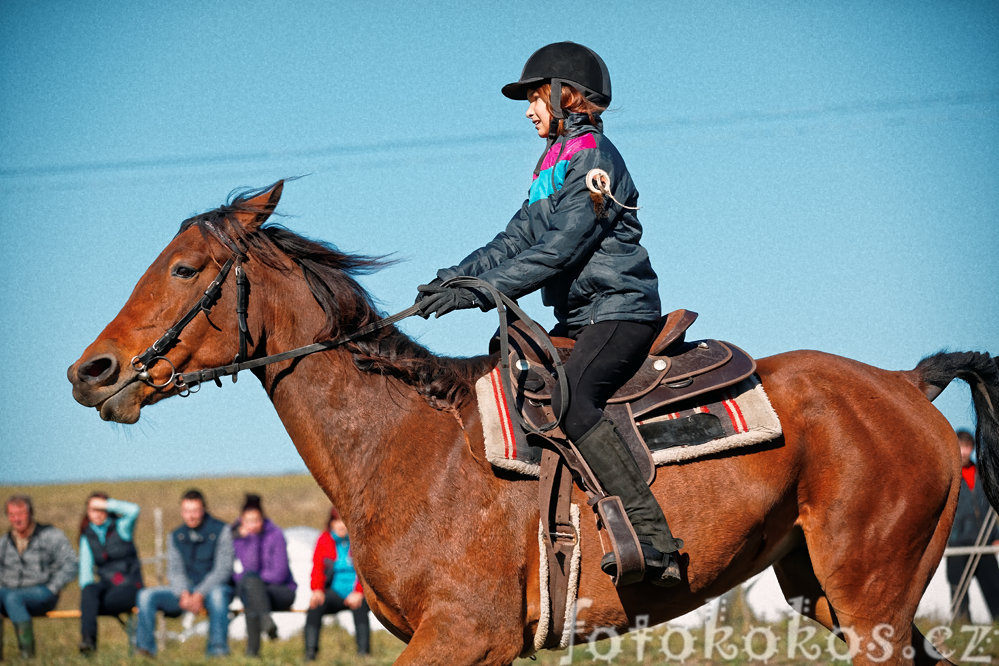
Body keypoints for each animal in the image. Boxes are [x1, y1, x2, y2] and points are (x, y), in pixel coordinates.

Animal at [70, 179, 999, 660]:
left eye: (185, 267)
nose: (92, 372)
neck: (403, 447)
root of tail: (904, 384)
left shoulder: (460, 637)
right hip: (832, 593)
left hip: (869, 600)